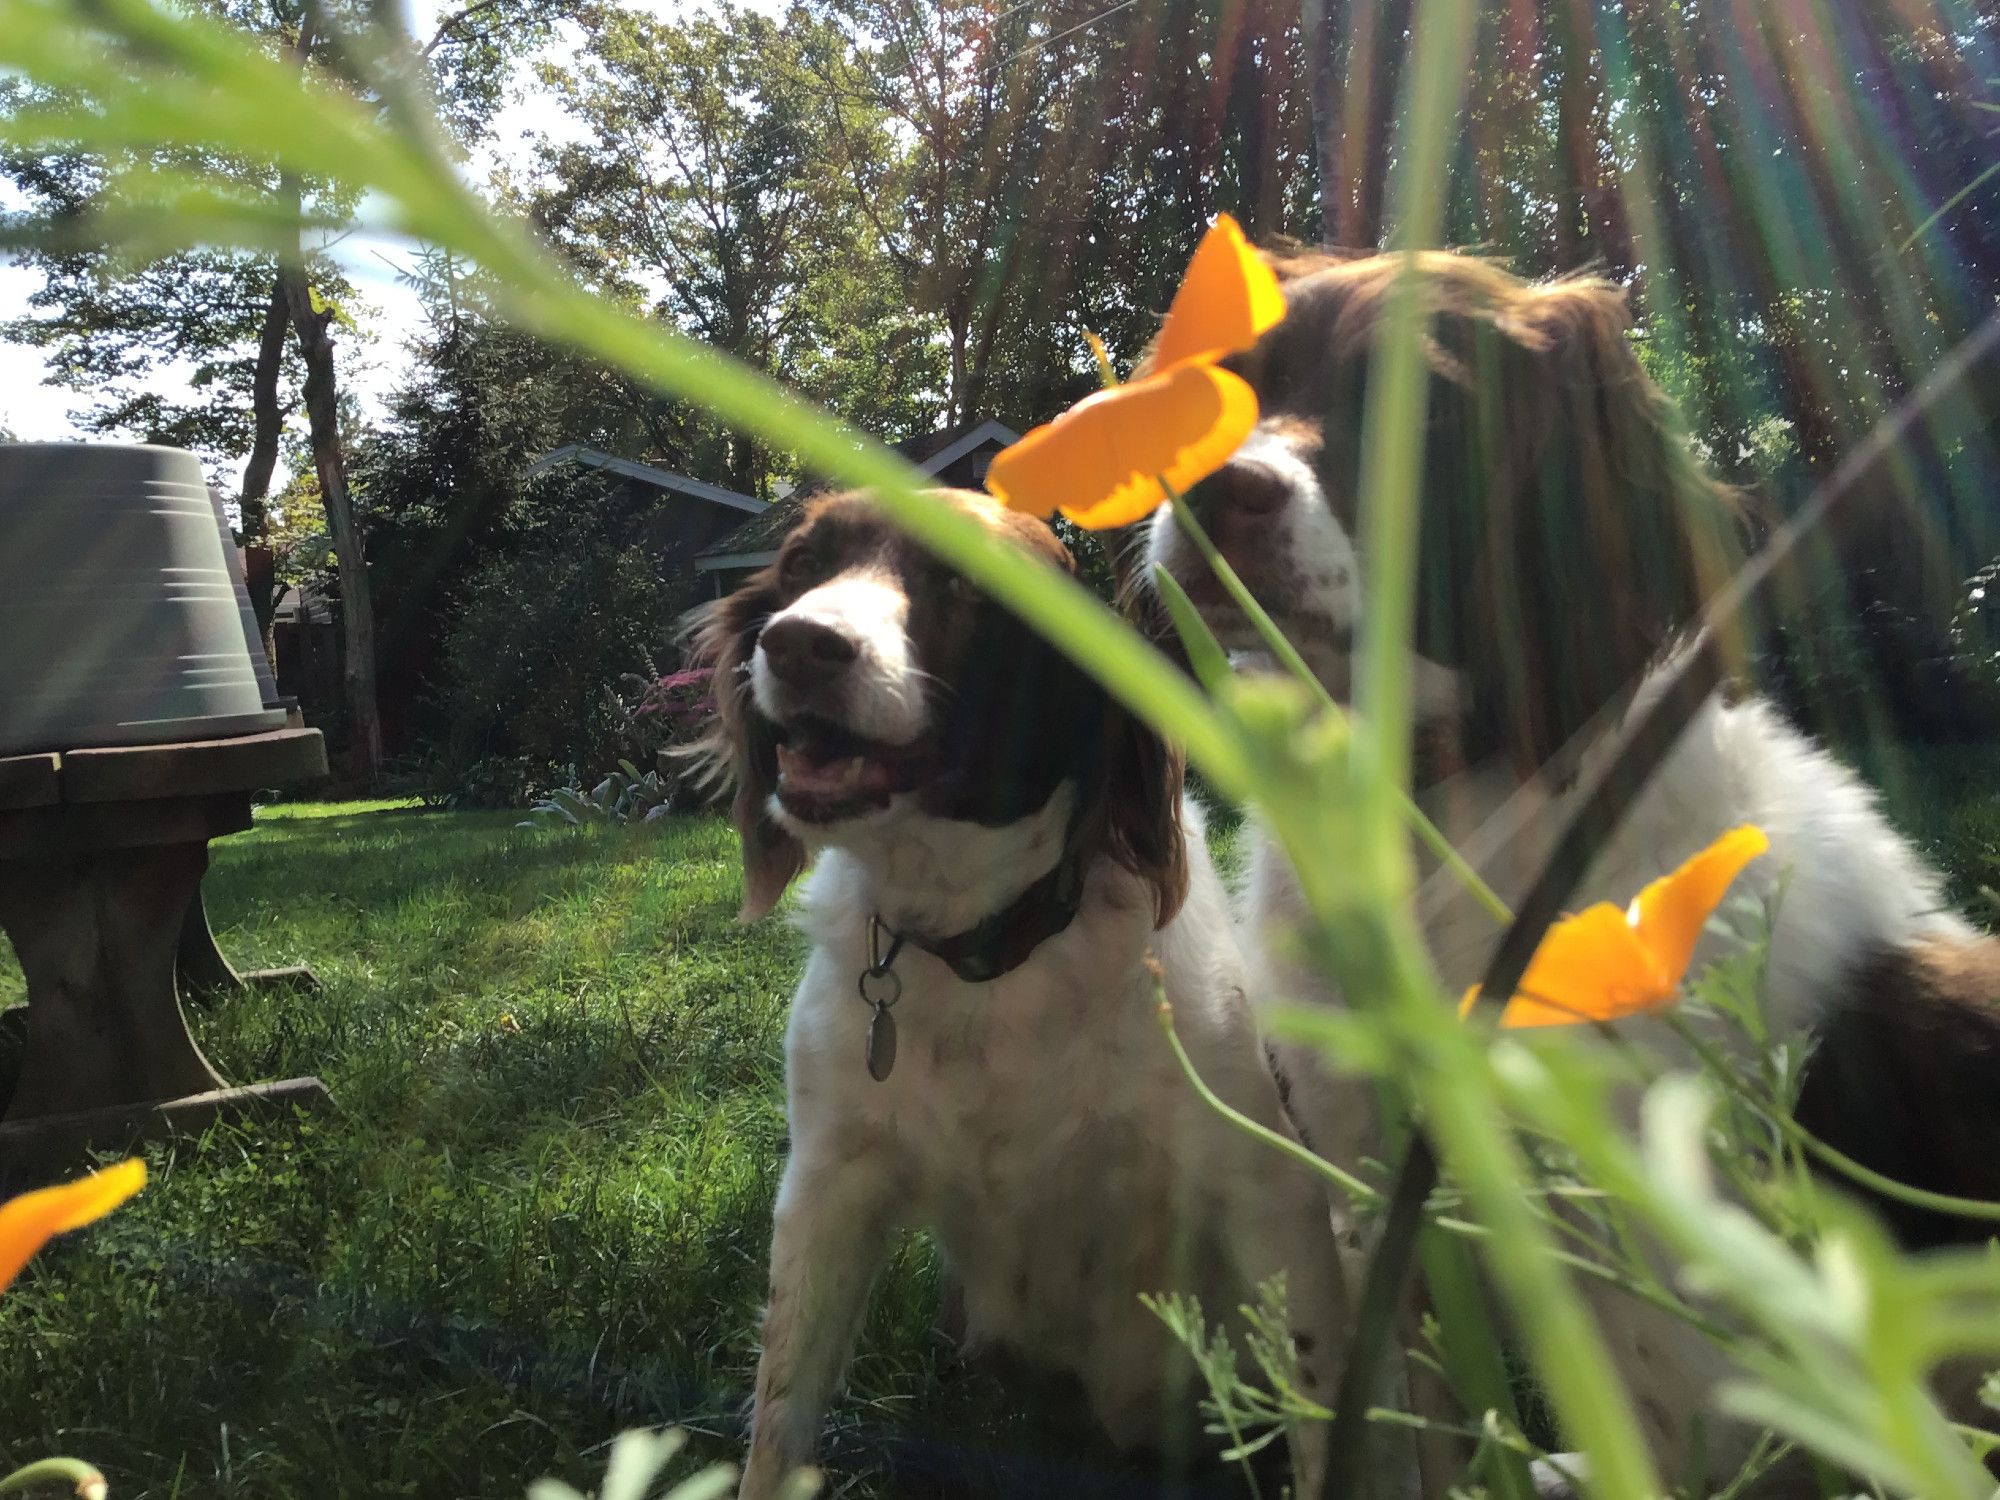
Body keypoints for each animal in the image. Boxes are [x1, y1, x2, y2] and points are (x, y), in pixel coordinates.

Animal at [696, 488, 1352, 1496]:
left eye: (968, 584)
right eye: (803, 563)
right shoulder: (828, 1186)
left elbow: (1318, 1406)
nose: (799, 642)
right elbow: (779, 1417)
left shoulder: (1265, 1190)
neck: (987, 948)